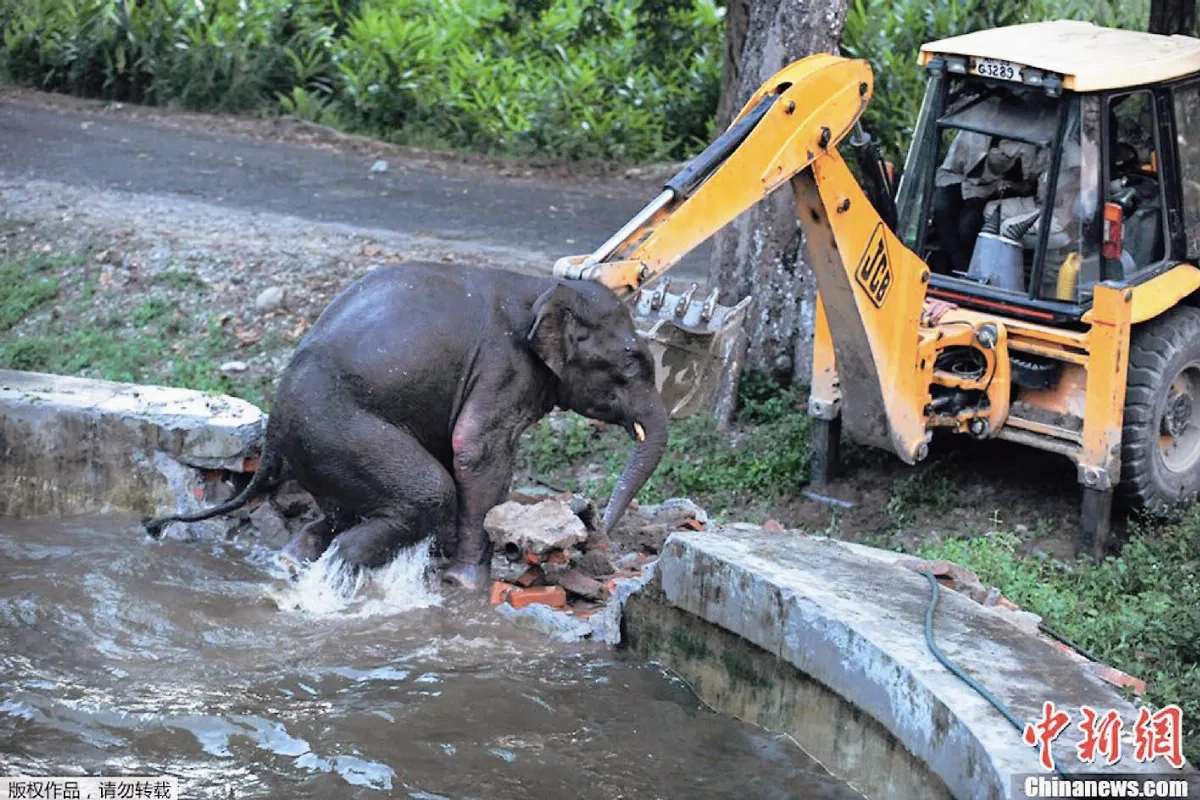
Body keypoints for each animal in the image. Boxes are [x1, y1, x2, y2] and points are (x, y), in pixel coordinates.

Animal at [143, 261, 669, 591]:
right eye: (632, 362)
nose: (599, 526)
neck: (541, 286)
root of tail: (272, 430)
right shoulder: (504, 367)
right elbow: (475, 448)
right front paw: (467, 584)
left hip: (321, 450)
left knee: (340, 511)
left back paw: (295, 560)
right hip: (339, 430)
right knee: (423, 495)